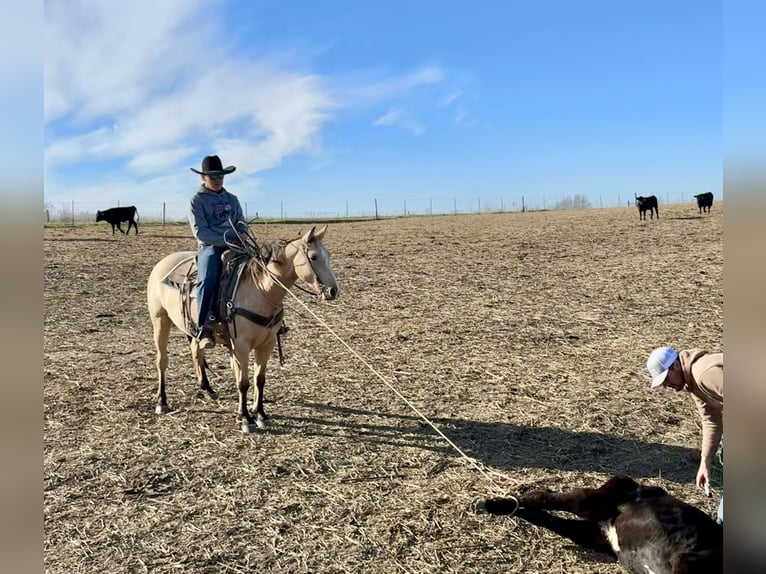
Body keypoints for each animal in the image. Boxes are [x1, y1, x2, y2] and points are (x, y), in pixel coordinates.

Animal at [146, 225, 340, 433]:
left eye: (328, 255)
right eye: (313, 257)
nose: (333, 290)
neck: (260, 290)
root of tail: (162, 264)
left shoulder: (267, 344)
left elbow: (259, 379)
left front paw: (261, 414)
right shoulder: (241, 346)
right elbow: (243, 382)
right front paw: (246, 418)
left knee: (196, 353)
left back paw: (207, 388)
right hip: (160, 322)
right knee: (161, 361)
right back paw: (162, 401)